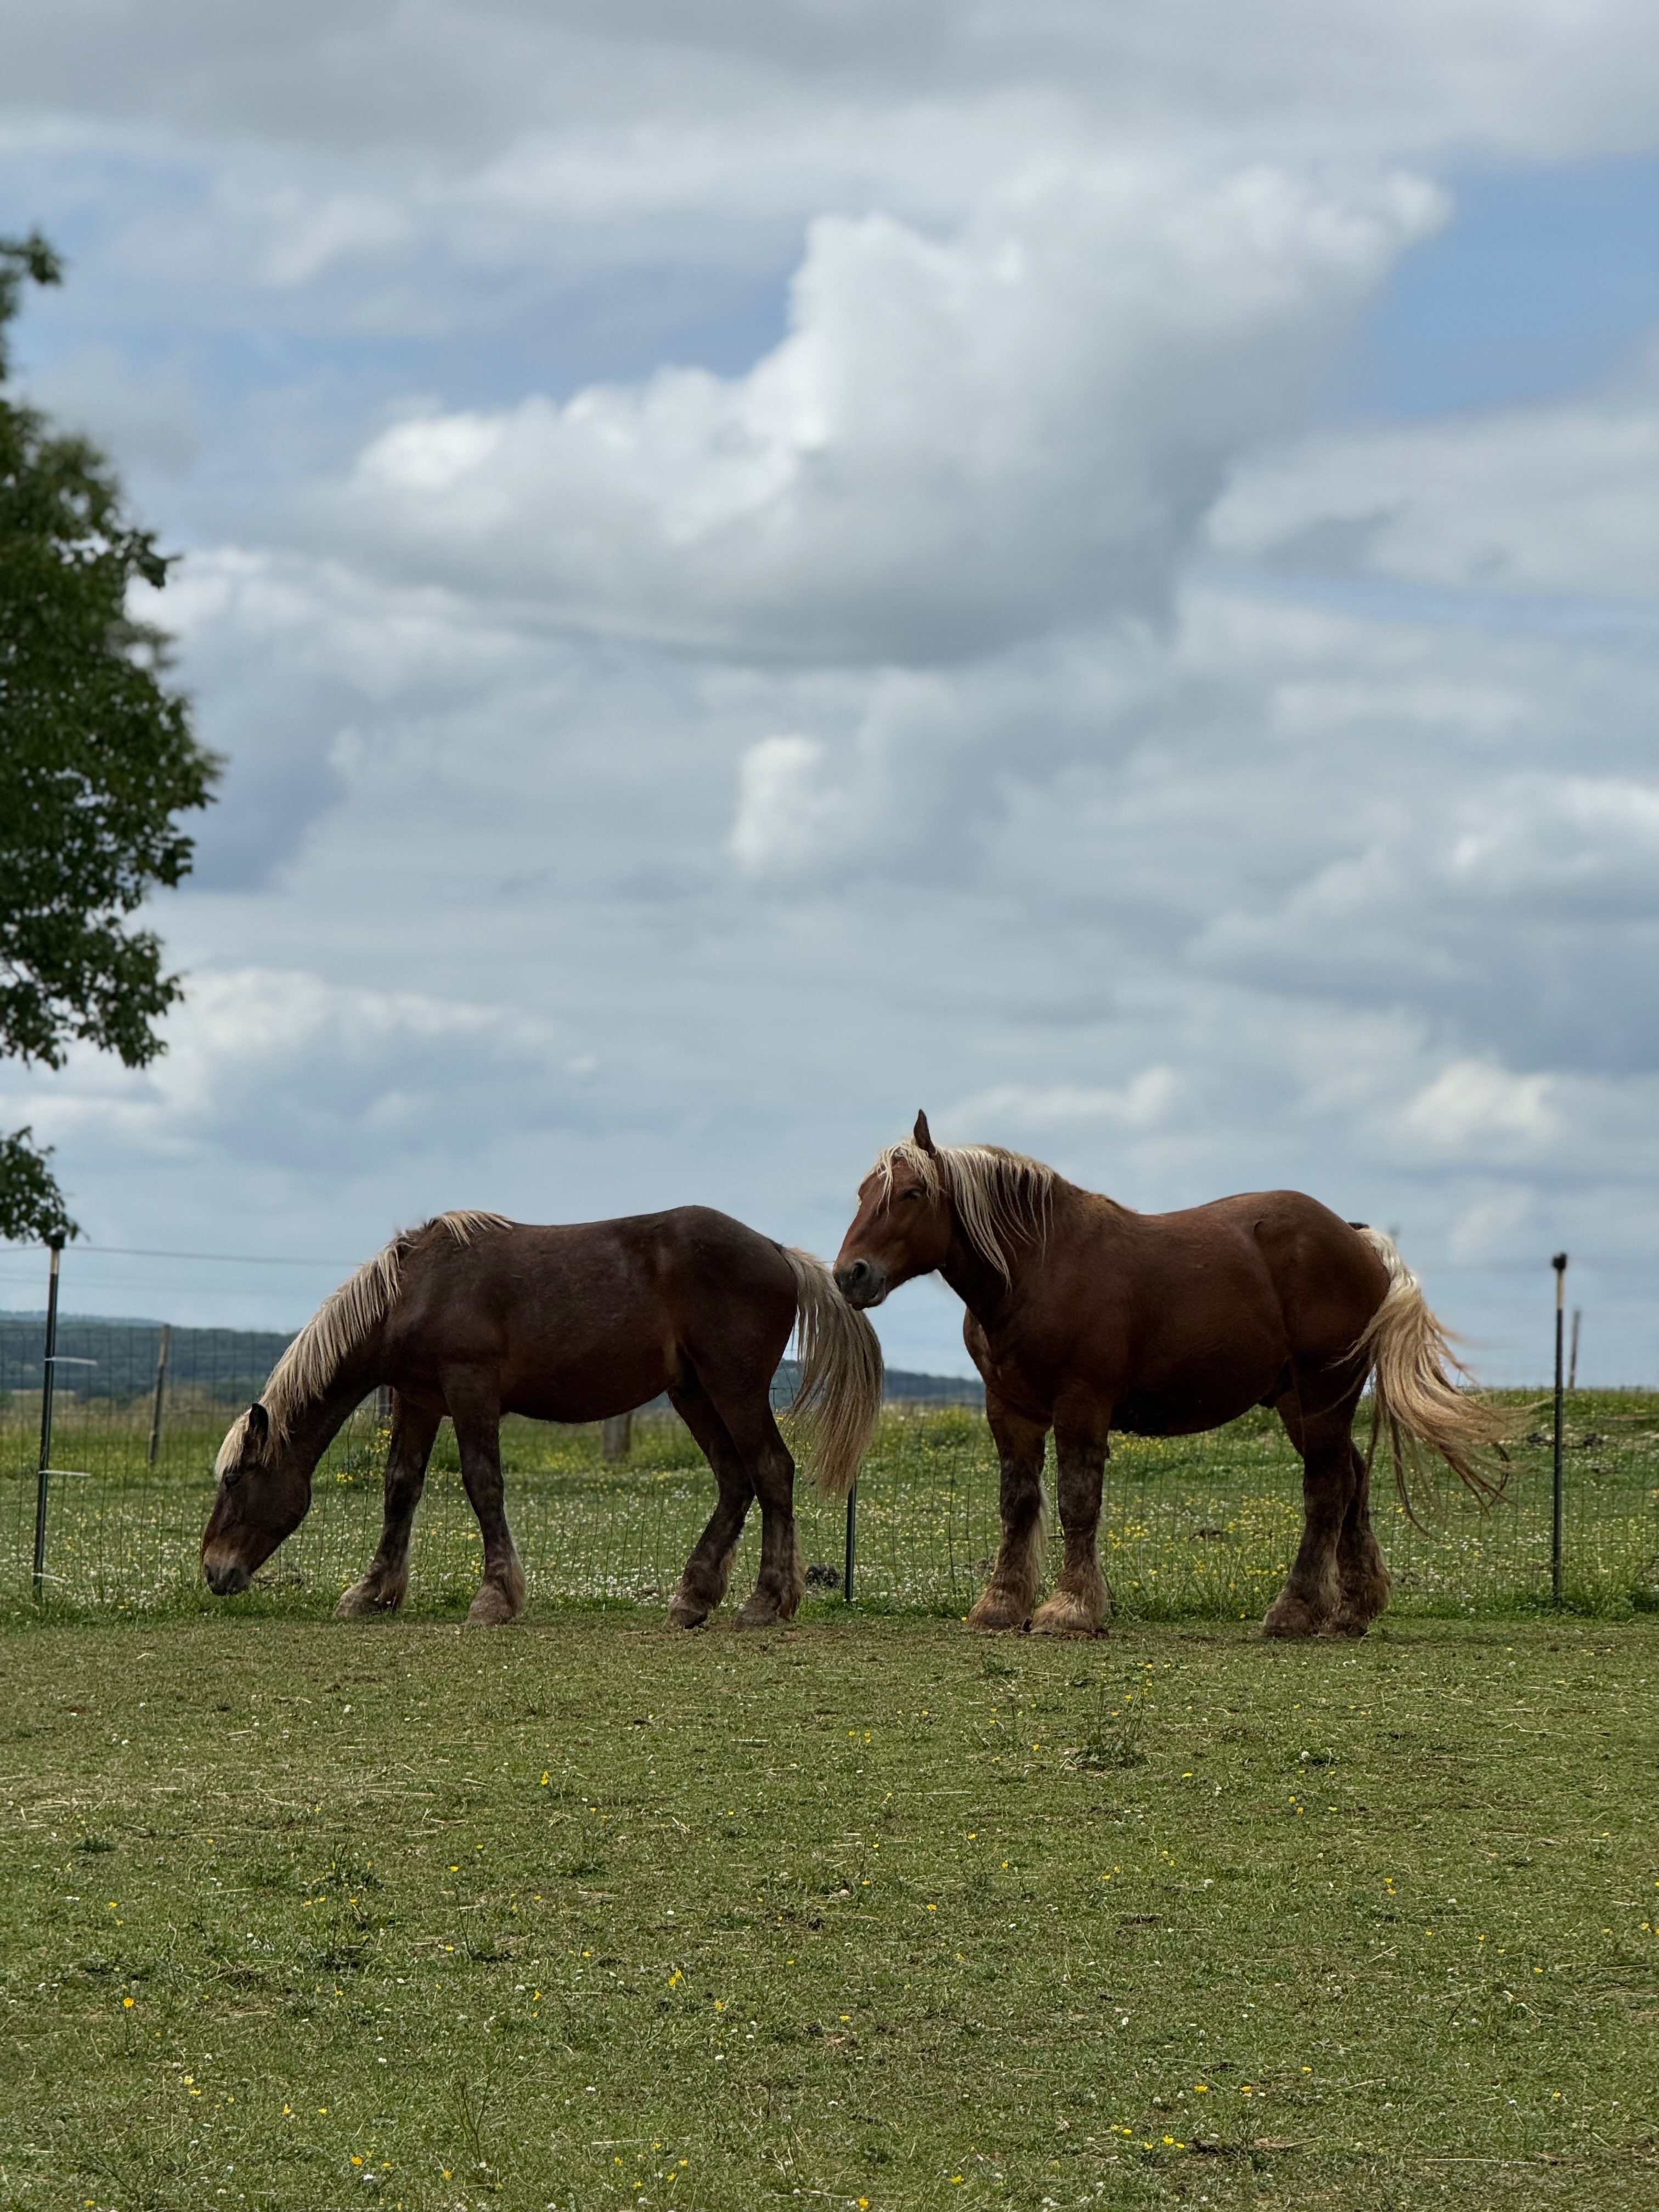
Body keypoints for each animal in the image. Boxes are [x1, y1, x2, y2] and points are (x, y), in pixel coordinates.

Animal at [202, 1206, 882, 1628]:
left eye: (235, 1479)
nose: (213, 1570)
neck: (417, 1288)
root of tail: (779, 1253)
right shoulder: (419, 1400)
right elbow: (401, 1488)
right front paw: (372, 1593)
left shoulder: (470, 1388)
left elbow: (483, 1483)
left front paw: (495, 1598)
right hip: (694, 1393)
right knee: (735, 1481)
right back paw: (692, 1598)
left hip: (733, 1389)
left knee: (771, 1471)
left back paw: (765, 1602)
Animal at [832, 1113, 1507, 1638]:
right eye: (863, 1192)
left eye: (912, 1193)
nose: (850, 1274)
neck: (1037, 1268)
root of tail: (1359, 1240)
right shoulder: (1010, 1410)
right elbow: (1018, 1504)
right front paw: (1000, 1604)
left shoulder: (1082, 1404)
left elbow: (1078, 1501)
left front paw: (1070, 1609)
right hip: (1301, 1402)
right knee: (1353, 1481)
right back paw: (1350, 1611)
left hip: (1322, 1394)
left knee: (1327, 1490)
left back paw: (1294, 1611)